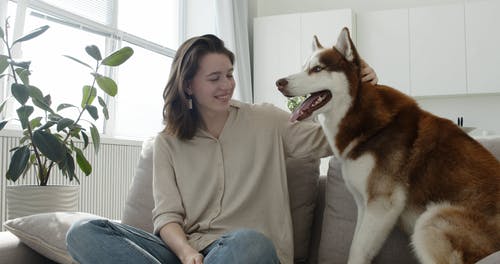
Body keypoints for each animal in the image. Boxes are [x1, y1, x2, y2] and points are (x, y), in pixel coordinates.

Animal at [276, 27, 500, 262]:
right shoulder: (365, 205)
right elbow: (357, 244)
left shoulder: (381, 204)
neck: (358, 111)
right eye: (303, 67)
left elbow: (356, 251)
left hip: (430, 219)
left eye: (317, 68)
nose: (279, 82)